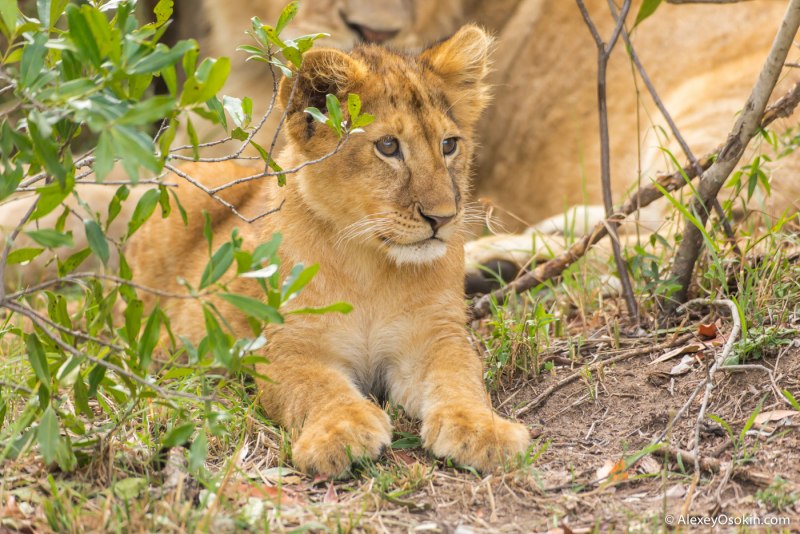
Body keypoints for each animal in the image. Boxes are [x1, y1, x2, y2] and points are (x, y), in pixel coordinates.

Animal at [126, 26, 531, 476]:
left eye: (449, 145)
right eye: (388, 146)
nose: (442, 218)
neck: (370, 265)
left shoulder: (435, 336)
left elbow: (461, 378)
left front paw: (483, 430)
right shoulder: (286, 347)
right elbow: (317, 388)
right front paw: (342, 431)